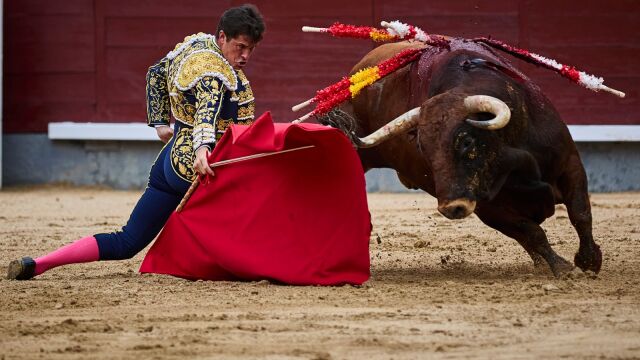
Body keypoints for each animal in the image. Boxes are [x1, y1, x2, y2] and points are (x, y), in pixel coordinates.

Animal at [322, 39, 604, 278]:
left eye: (466, 141)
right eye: (422, 148)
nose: (452, 207)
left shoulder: (570, 163)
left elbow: (580, 212)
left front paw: (589, 261)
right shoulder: (487, 206)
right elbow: (532, 231)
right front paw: (564, 268)